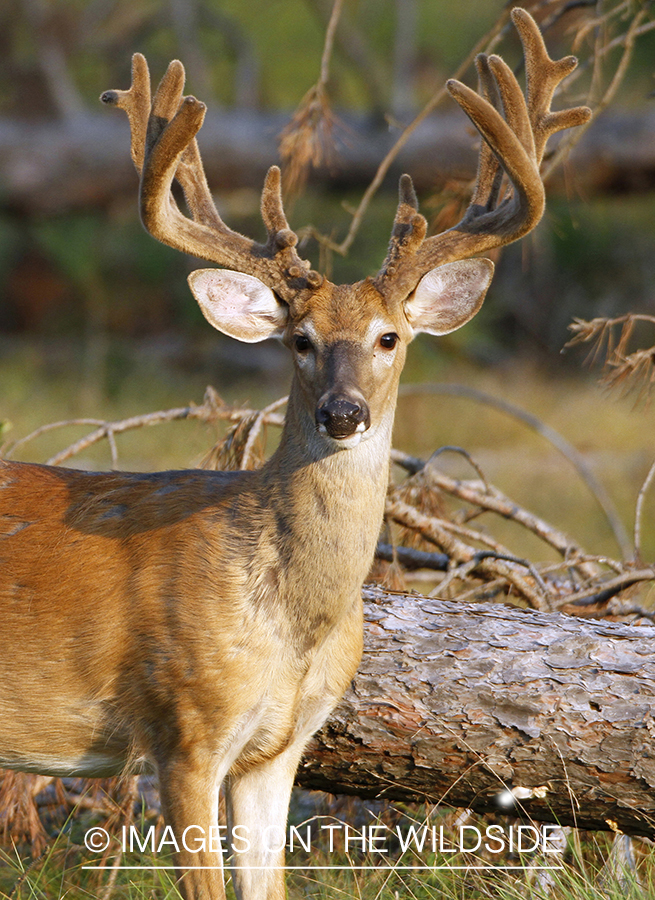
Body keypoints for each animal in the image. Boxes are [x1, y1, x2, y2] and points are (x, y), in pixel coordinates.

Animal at [0, 8, 588, 900]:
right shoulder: (184, 728)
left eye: (389, 338)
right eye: (300, 340)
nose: (342, 412)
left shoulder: (278, 750)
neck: (294, 625)